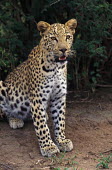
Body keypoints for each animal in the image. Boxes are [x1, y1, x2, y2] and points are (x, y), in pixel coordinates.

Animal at [0, 18, 77, 157]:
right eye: (53, 38)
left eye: (68, 37)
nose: (63, 49)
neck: (56, 66)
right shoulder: (38, 98)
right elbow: (41, 126)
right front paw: (48, 147)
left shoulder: (59, 97)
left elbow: (60, 121)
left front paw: (62, 141)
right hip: (2, 86)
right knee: (6, 111)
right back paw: (15, 119)